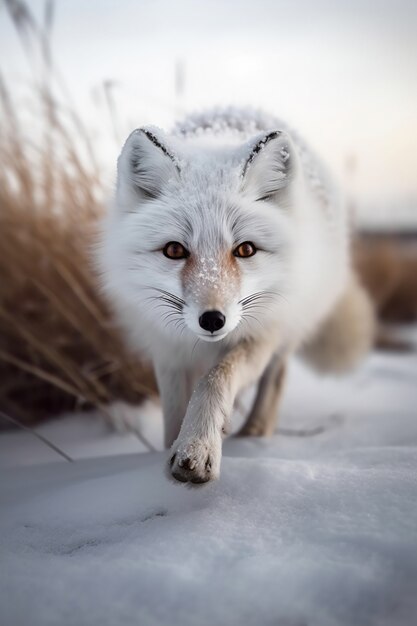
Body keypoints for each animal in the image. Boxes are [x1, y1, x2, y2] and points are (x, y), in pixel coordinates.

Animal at [98, 107, 374, 482]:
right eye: (174, 250)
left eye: (245, 250)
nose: (213, 320)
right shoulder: (167, 347)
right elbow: (174, 412)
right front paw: (175, 448)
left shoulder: (261, 333)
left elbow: (215, 379)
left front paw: (197, 446)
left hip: (289, 325)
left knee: (275, 379)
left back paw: (254, 434)